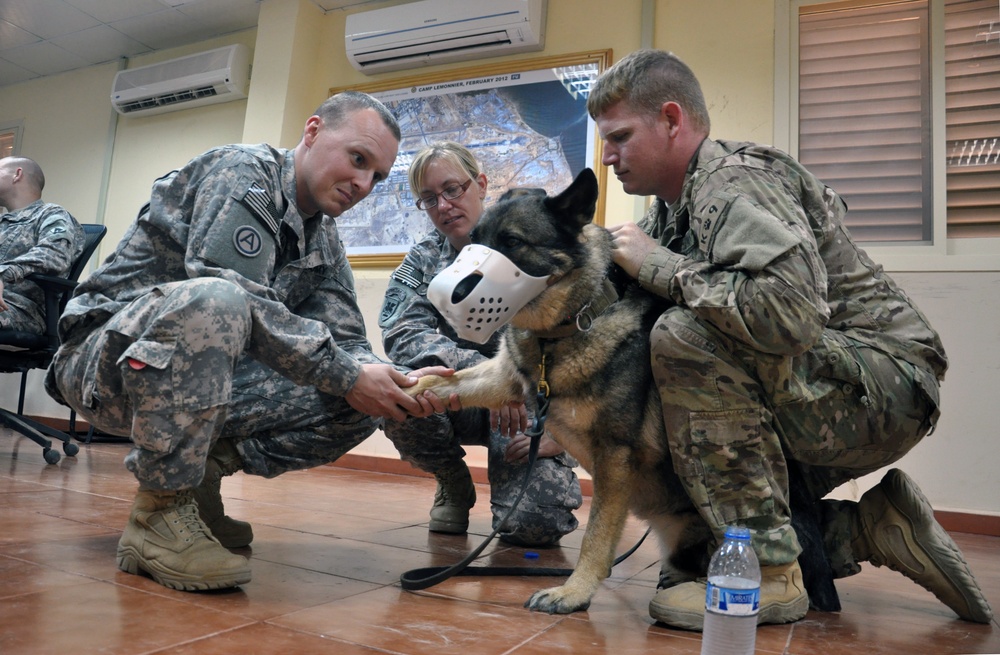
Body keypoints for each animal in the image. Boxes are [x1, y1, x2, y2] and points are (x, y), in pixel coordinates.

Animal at [402, 168, 716, 616]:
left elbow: (596, 536)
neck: (564, 331)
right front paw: (396, 388)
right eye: (474, 240)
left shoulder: (614, 458)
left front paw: (575, 591)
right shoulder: (503, 378)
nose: (444, 296)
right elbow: (440, 381)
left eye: (513, 242)